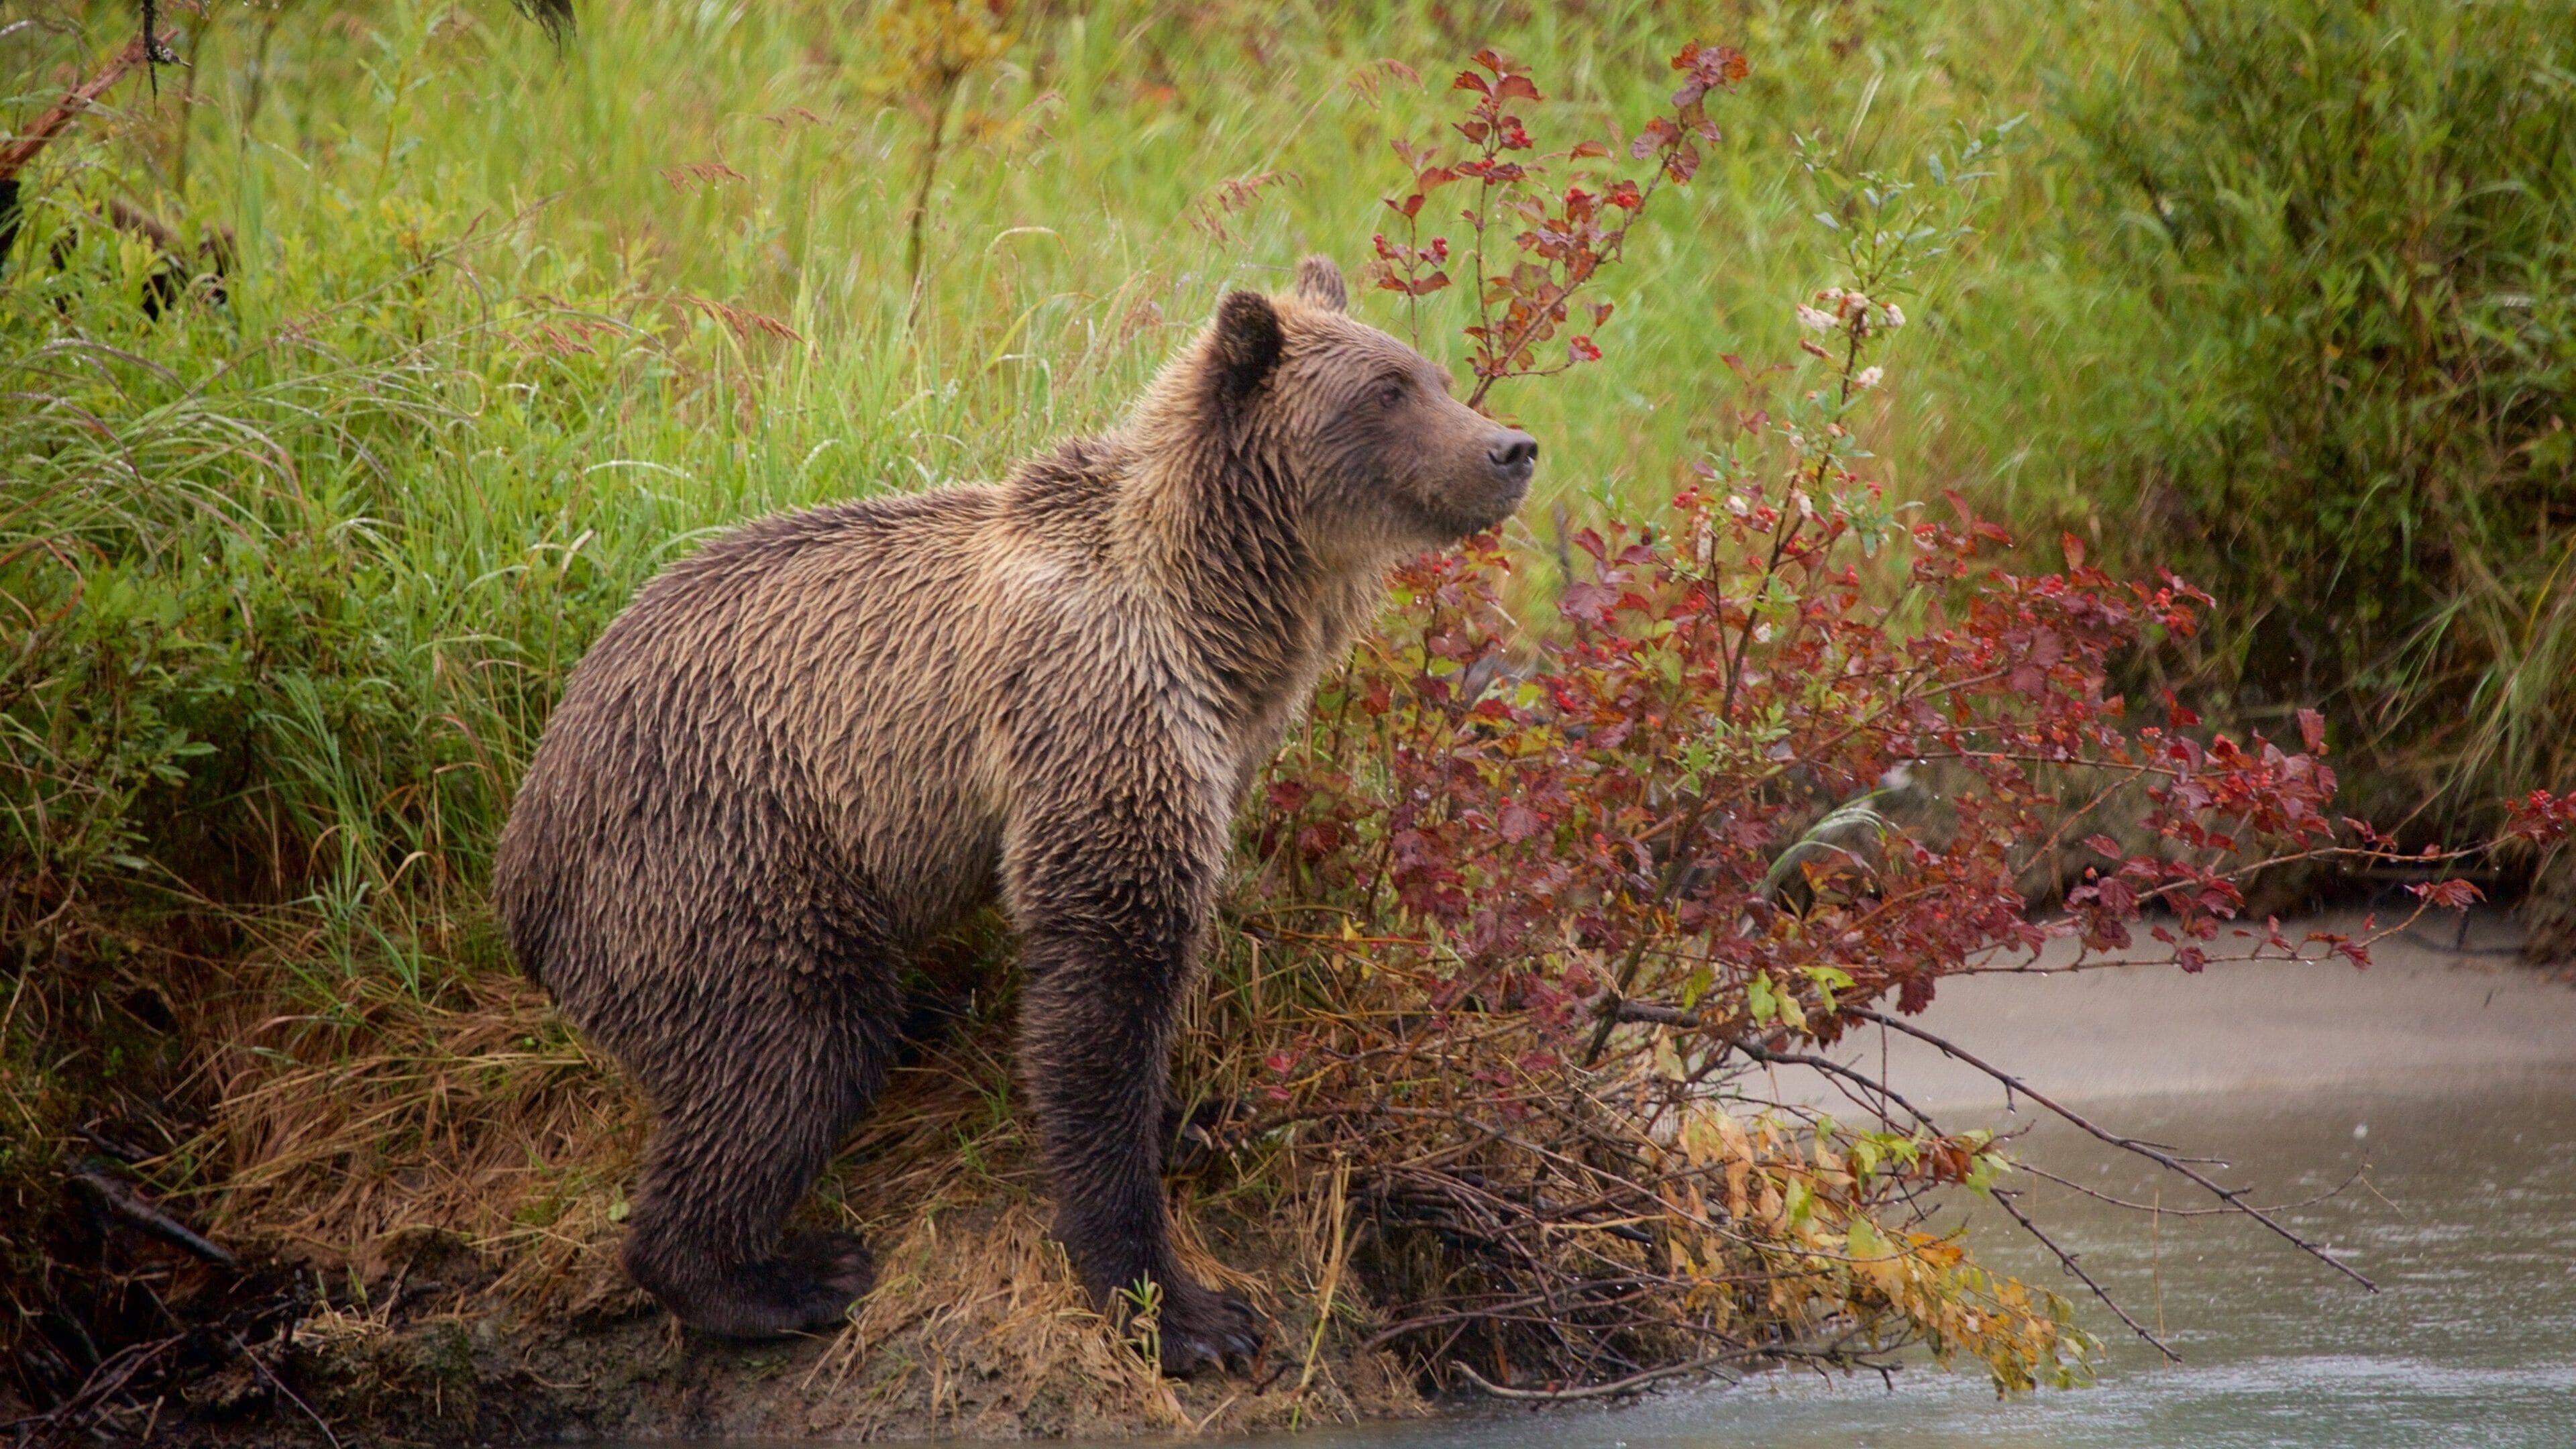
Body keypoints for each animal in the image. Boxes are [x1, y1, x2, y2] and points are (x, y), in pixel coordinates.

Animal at [489, 256, 1537, 1372]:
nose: (1511, 447)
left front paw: (1196, 1116)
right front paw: (1184, 1309)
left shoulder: (1218, 741)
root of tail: (523, 860)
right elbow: (1105, 975)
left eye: (1435, 374)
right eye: (1386, 392)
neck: (1222, 618)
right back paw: (781, 1276)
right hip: (722, 853)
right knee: (786, 1050)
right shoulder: (1098, 706)